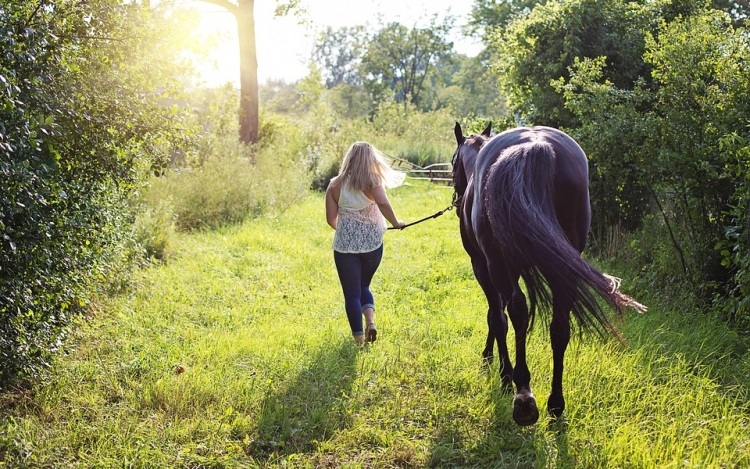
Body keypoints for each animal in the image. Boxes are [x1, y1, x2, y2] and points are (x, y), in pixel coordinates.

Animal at [452, 120, 648, 424]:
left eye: (452, 162)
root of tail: (536, 145)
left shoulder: (482, 266)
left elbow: (496, 317)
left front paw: (501, 372)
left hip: (498, 265)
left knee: (517, 312)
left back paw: (523, 394)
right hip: (562, 269)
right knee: (559, 327)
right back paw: (556, 403)